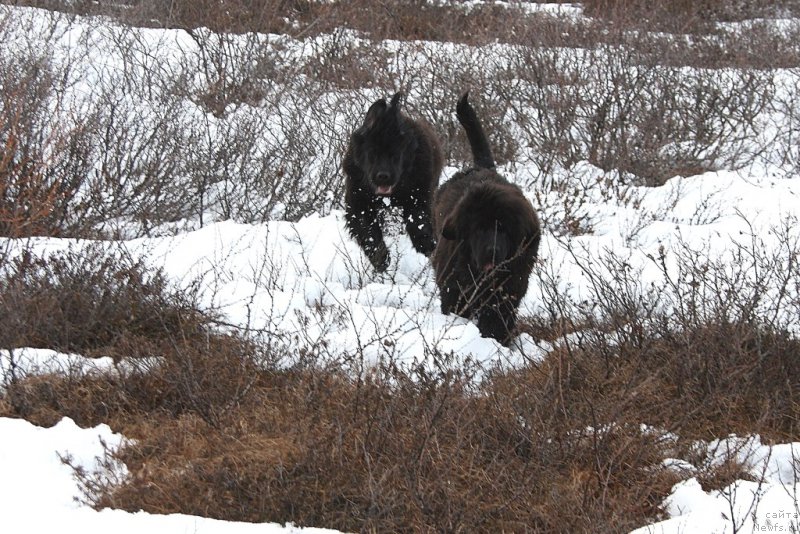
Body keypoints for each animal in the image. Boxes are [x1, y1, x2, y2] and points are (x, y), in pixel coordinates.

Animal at [342, 91, 446, 272]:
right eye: (372, 153)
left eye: (396, 154)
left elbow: (419, 225)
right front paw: (382, 260)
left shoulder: (419, 196)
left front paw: (428, 248)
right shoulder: (358, 202)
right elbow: (369, 233)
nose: (383, 175)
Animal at [434, 92, 540, 348]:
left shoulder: (508, 290)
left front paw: (496, 340)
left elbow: (497, 318)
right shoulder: (454, 286)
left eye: (504, 229)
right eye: (477, 229)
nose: (491, 251)